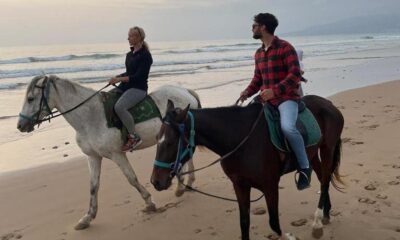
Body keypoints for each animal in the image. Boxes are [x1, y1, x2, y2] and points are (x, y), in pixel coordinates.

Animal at [17, 75, 200, 229]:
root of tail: (185, 92)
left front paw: (149, 203)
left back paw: (181, 185)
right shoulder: (93, 157)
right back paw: (186, 183)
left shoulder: (117, 154)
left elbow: (132, 179)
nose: (20, 125)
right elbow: (93, 186)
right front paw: (87, 218)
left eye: (31, 98)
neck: (91, 117)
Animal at [150, 95, 344, 240]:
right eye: (157, 139)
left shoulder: (270, 187)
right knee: (323, 178)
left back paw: (317, 222)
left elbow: (274, 223)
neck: (240, 139)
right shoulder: (240, 185)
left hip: (327, 149)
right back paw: (326, 213)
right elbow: (244, 222)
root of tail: (329, 104)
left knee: (325, 180)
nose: (155, 181)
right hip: (312, 154)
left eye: (170, 142)